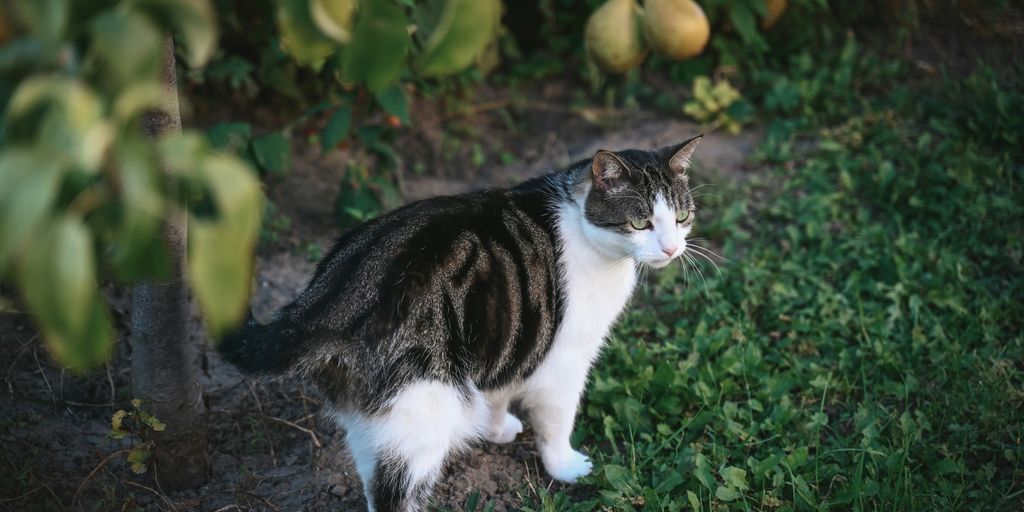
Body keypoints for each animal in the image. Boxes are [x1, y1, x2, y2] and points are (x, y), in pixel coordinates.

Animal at [222, 136, 704, 512]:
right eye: (641, 222)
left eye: (681, 218)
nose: (671, 248)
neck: (583, 226)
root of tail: (328, 298)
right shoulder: (562, 359)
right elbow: (556, 420)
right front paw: (565, 466)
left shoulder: (509, 334)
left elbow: (499, 386)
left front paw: (496, 428)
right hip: (422, 406)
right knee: (395, 494)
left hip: (372, 415)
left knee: (371, 483)